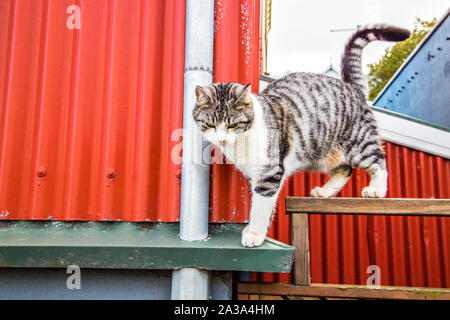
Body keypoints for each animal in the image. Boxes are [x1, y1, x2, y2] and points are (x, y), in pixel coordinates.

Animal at [192, 24, 410, 248]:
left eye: (233, 124)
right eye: (210, 124)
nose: (221, 139)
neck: (242, 143)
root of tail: (352, 87)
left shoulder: (270, 171)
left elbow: (261, 206)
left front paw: (254, 234)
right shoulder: (258, 175)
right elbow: (265, 204)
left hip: (359, 142)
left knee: (378, 162)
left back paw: (376, 189)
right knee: (344, 169)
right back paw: (324, 191)